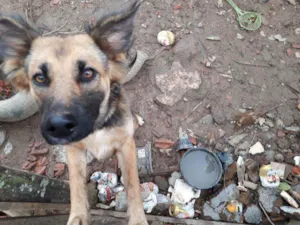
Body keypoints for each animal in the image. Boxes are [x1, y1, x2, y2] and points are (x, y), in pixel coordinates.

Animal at [0, 0, 149, 224]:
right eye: (39, 78)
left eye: (88, 73)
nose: (59, 127)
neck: (97, 127)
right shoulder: (74, 150)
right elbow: (76, 186)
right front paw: (77, 216)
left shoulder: (126, 145)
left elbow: (133, 184)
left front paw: (138, 218)